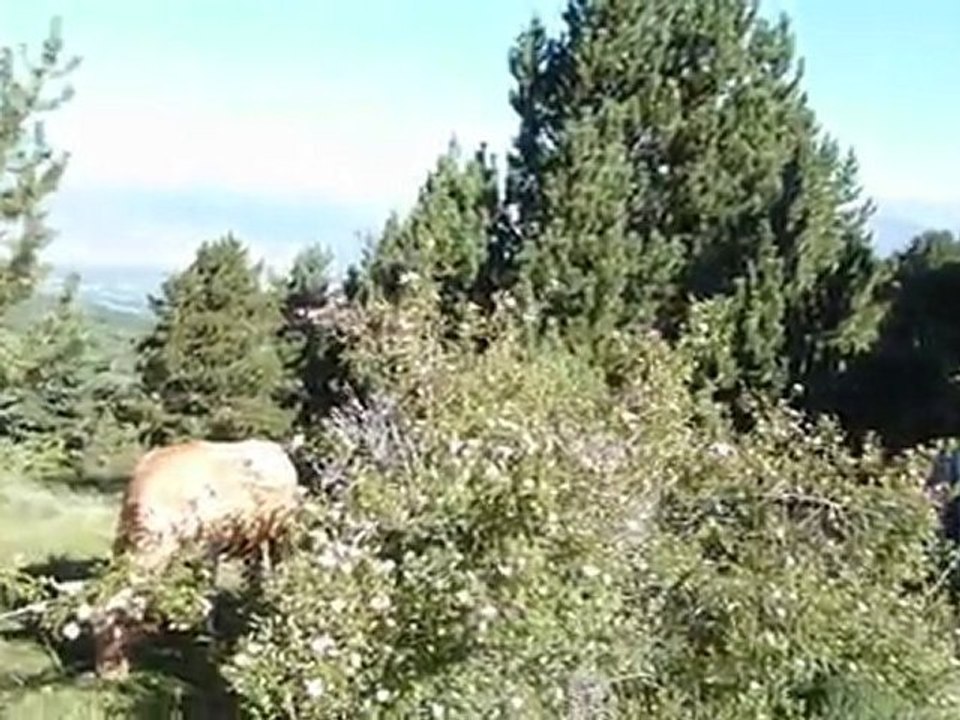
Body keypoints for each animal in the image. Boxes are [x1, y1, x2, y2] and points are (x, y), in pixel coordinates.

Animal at [92, 437, 307, 679]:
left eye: (118, 625)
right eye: (93, 630)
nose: (107, 673)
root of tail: (278, 448)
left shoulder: (207, 548)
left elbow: (207, 597)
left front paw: (207, 643)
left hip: (285, 532)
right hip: (255, 536)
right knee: (257, 572)